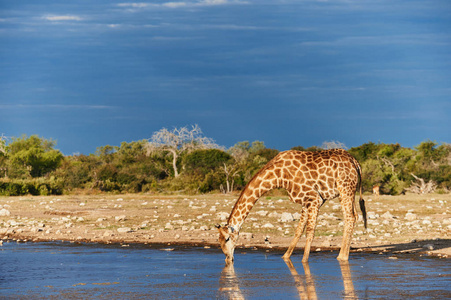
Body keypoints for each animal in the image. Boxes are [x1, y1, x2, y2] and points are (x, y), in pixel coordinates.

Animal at [217, 149, 370, 264]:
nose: (228, 258)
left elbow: (309, 231)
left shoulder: (314, 199)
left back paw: (342, 257)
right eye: (219, 241)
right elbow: (298, 230)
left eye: (227, 239)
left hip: (345, 188)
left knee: (349, 217)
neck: (278, 176)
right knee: (355, 216)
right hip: (348, 191)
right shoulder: (306, 201)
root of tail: (356, 163)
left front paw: (304, 261)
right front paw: (285, 257)